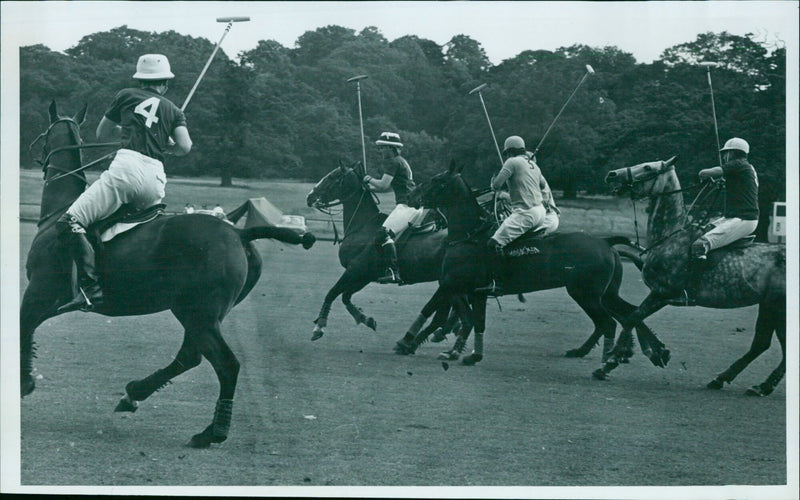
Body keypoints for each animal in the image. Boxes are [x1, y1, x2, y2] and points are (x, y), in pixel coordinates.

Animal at [21, 99, 316, 448]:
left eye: (43, 134)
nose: (34, 150)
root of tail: (239, 232)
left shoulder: (40, 292)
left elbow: (23, 328)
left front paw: (24, 383)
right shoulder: (49, 300)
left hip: (199, 312)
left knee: (225, 363)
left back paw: (212, 432)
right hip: (202, 312)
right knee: (191, 356)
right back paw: (136, 394)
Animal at [306, 162, 460, 342]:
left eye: (332, 177)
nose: (310, 197)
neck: (362, 225)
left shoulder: (355, 270)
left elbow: (332, 293)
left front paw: (319, 327)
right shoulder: (365, 276)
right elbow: (346, 296)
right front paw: (365, 319)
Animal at [396, 162, 660, 366]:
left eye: (437, 180)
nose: (410, 197)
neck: (469, 234)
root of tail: (606, 242)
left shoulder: (454, 285)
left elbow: (454, 316)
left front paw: (436, 348)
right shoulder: (474, 292)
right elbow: (475, 321)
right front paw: (471, 355)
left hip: (586, 293)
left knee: (609, 322)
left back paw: (609, 359)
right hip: (603, 294)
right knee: (627, 314)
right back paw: (643, 351)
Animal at [596, 158, 784, 396]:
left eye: (648, 167)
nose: (612, 175)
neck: (669, 236)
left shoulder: (664, 292)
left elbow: (633, 317)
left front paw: (610, 362)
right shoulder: (660, 294)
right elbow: (634, 316)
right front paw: (657, 352)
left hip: (776, 305)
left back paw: (759, 385)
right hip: (768, 305)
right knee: (762, 343)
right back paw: (735, 381)